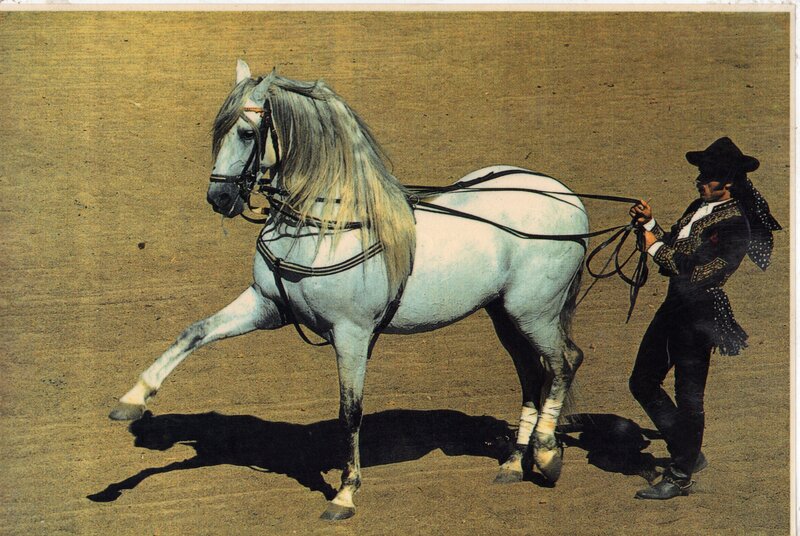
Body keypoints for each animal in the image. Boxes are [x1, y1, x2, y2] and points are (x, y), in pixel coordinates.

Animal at [110, 60, 588, 521]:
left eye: (246, 133)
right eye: (218, 131)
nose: (219, 199)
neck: (325, 225)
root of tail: (567, 196)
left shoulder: (351, 333)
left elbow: (350, 410)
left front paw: (344, 494)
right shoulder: (267, 306)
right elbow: (195, 332)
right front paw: (132, 400)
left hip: (535, 312)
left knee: (563, 363)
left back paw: (546, 457)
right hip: (504, 314)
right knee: (532, 373)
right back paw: (513, 464)